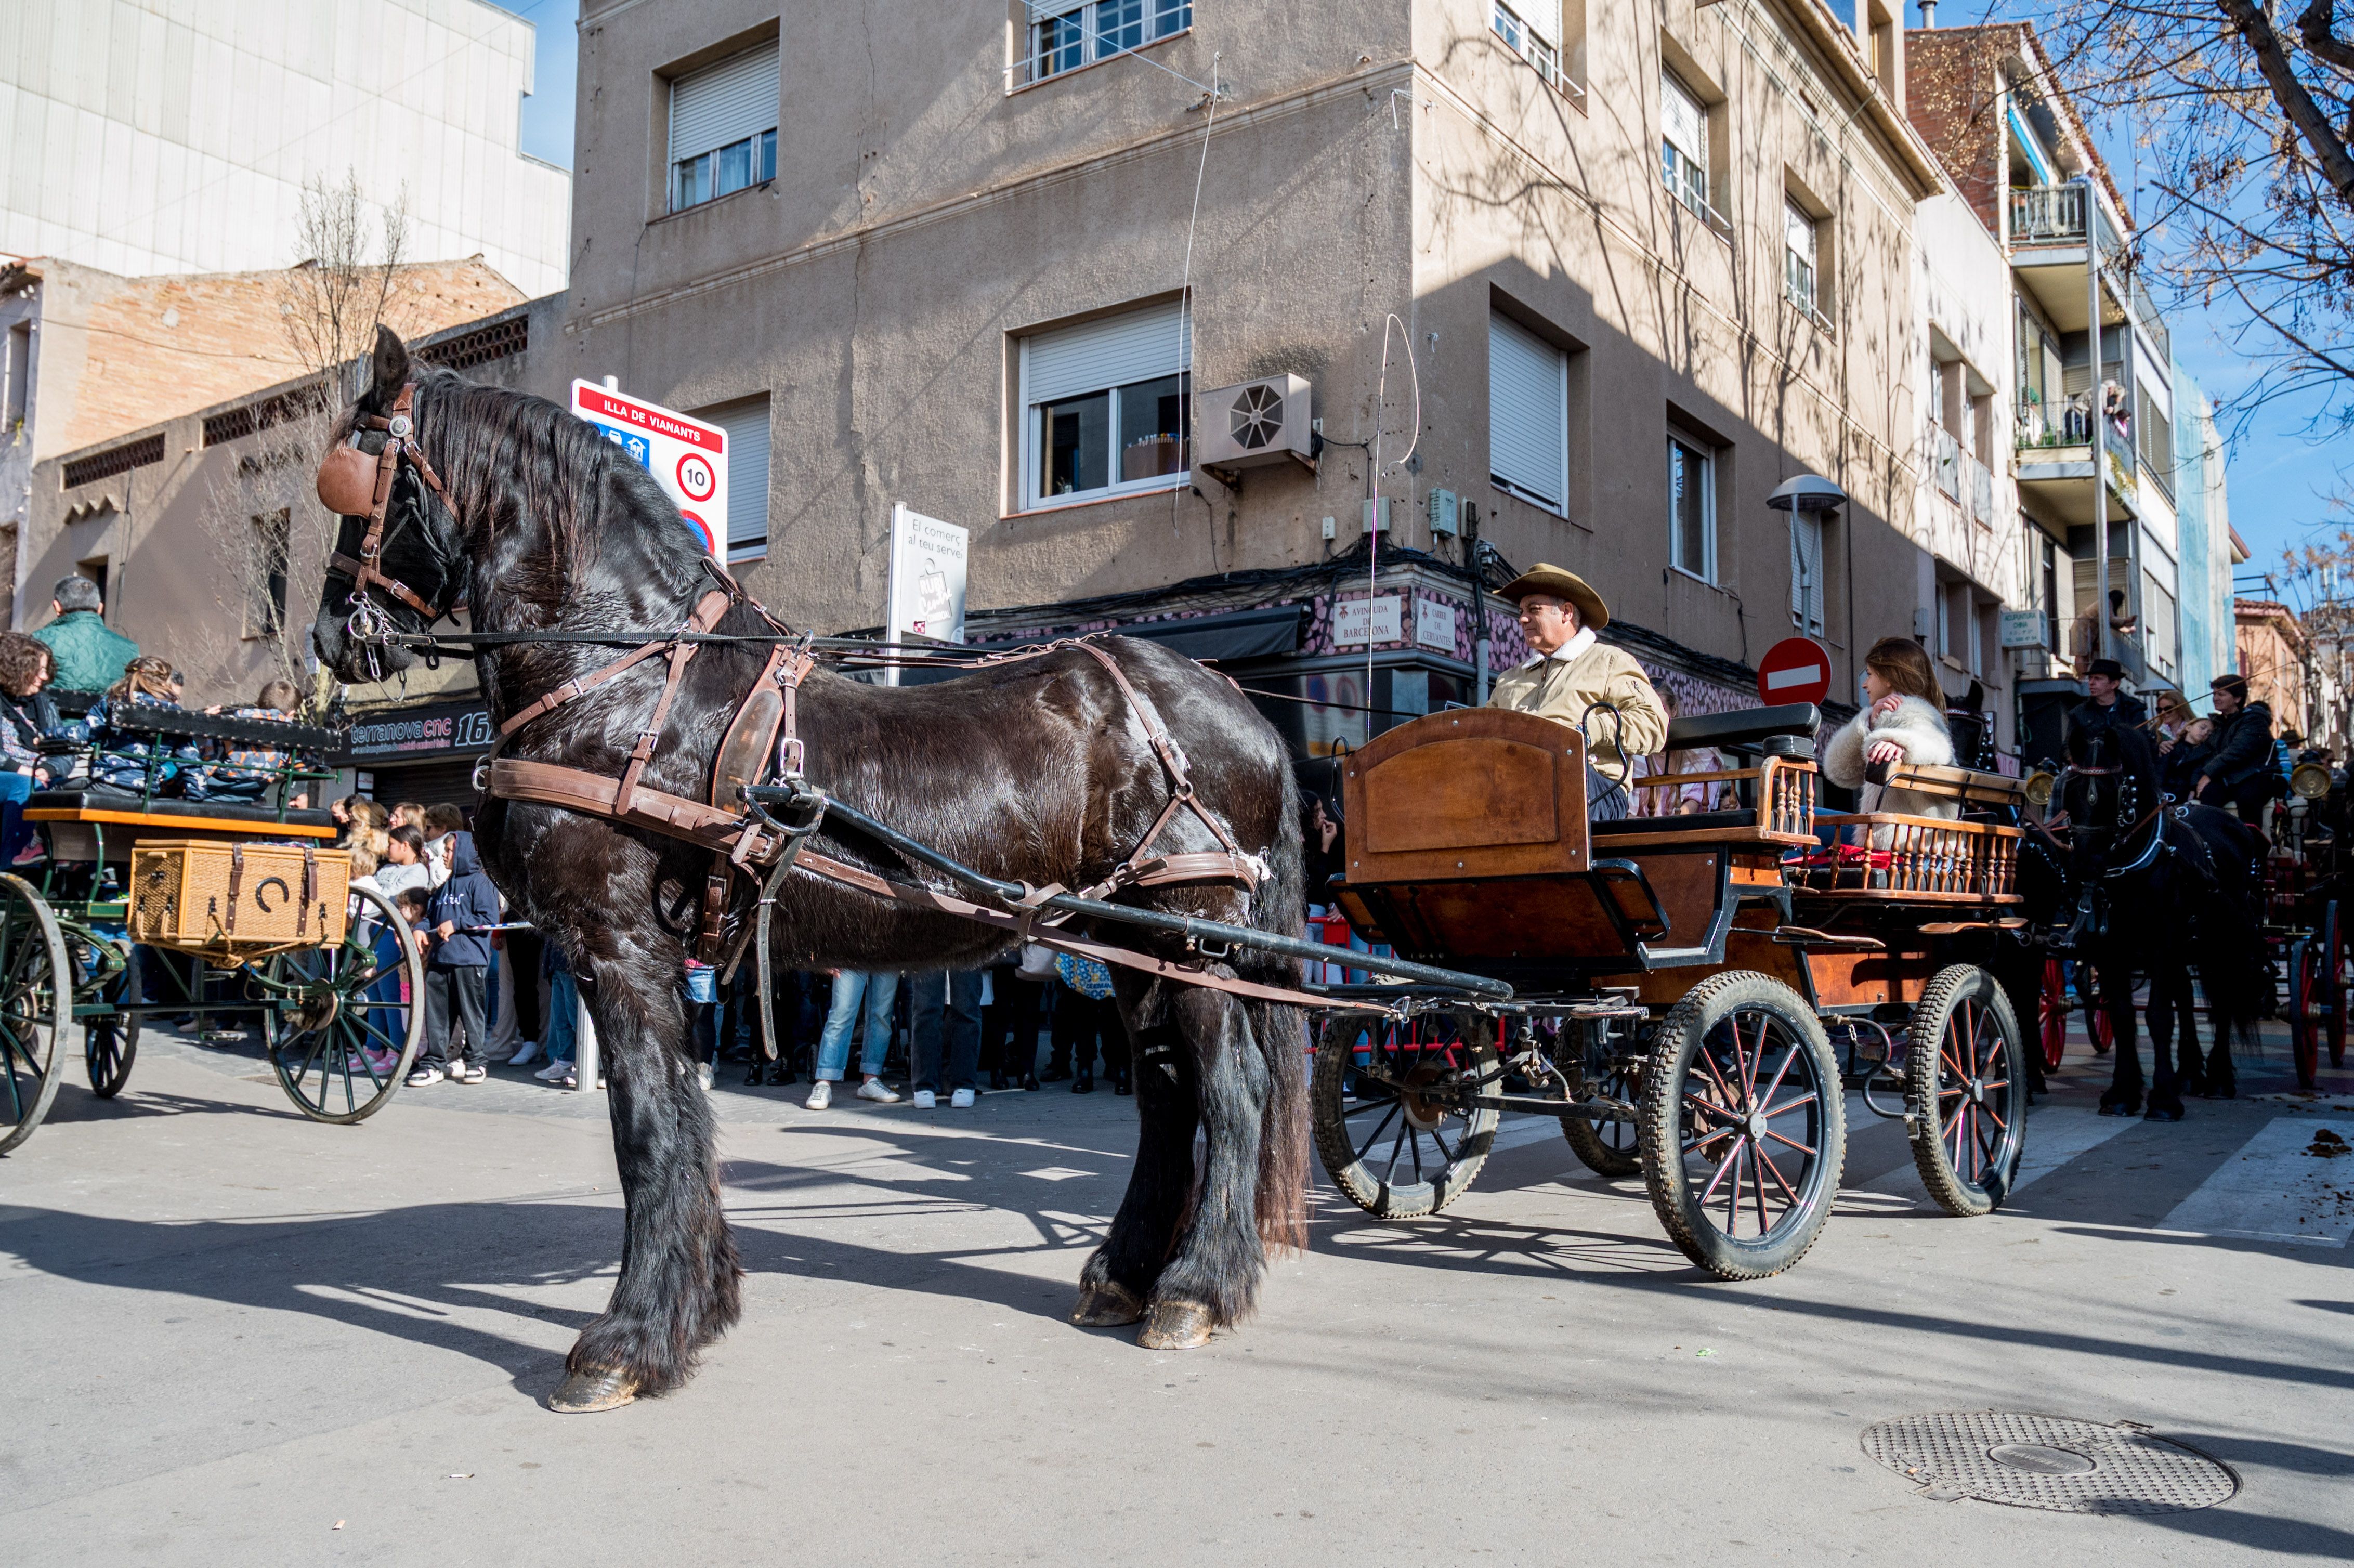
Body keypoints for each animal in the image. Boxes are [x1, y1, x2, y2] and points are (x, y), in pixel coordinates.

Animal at [306, 327, 1318, 1403]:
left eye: (354, 472)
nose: (330, 635)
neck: (623, 678)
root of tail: (1235, 701)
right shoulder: (651, 955)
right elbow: (681, 1116)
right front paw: (697, 1305)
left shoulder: (614, 944)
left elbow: (645, 1126)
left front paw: (629, 1337)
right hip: (1128, 941)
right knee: (1167, 1095)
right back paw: (1128, 1272)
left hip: (1190, 935)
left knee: (1232, 1089)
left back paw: (1197, 1286)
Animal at [2015, 715, 2269, 1116]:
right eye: (2070, 792)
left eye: (2116, 792)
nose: (2084, 865)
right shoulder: (2109, 946)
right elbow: (2123, 1014)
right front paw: (2123, 1092)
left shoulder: (2163, 941)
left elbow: (2158, 1014)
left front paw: (2162, 1098)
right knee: (2186, 997)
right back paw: (2190, 1072)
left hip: (2221, 940)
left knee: (2223, 999)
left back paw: (2218, 1078)